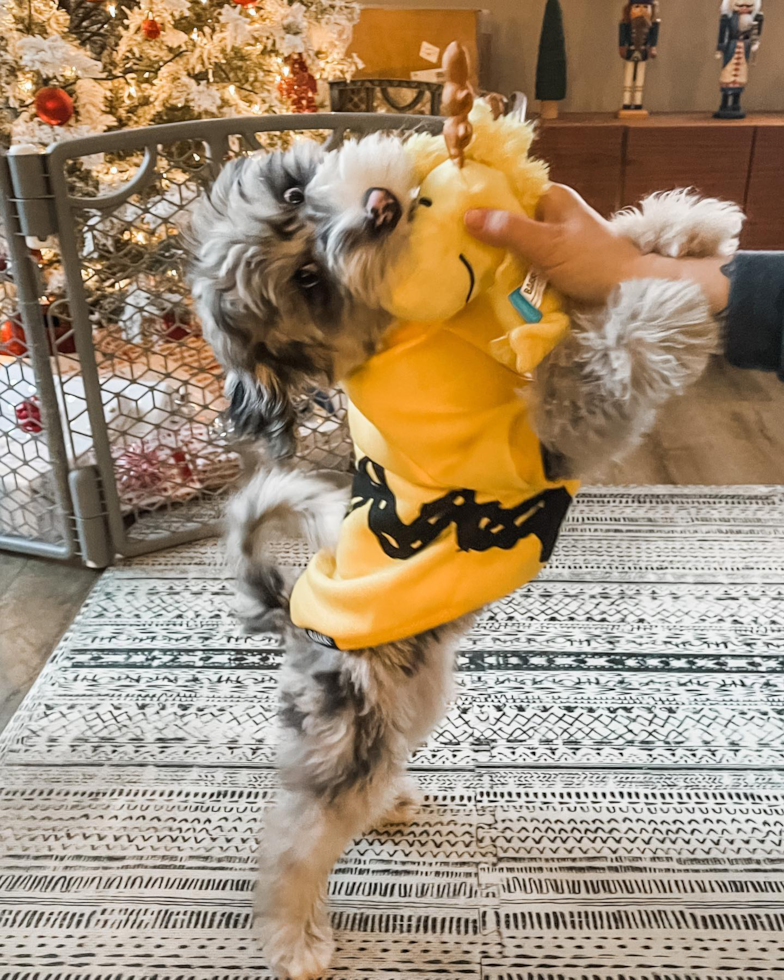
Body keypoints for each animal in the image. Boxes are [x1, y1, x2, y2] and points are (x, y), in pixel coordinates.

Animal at [188, 132, 740, 980]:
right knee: (295, 839)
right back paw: (294, 939)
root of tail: (293, 617)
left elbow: (589, 270)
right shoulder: (554, 434)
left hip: (411, 700)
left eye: (292, 194)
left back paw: (389, 804)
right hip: (350, 723)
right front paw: (661, 297)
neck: (431, 334)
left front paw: (681, 229)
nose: (380, 206)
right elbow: (605, 355)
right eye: (307, 281)